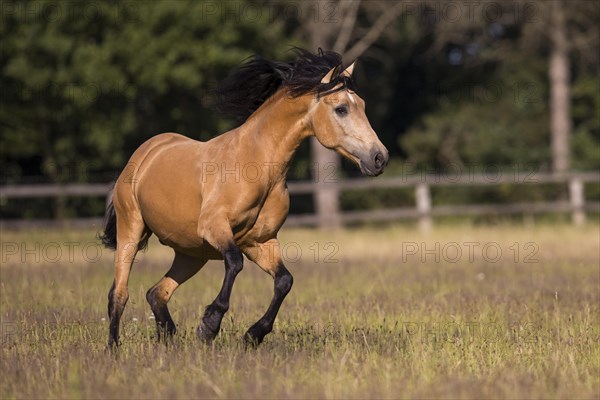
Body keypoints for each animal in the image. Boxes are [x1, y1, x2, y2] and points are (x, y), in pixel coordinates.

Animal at [99, 48, 390, 346]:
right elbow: (235, 263)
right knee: (119, 293)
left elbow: (284, 280)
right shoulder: (216, 228)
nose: (379, 158)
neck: (257, 165)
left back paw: (168, 336)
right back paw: (114, 347)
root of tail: (144, 153)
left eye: (362, 104)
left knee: (157, 292)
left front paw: (254, 334)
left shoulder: (260, 241)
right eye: (341, 108)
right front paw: (209, 325)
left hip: (191, 253)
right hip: (131, 230)